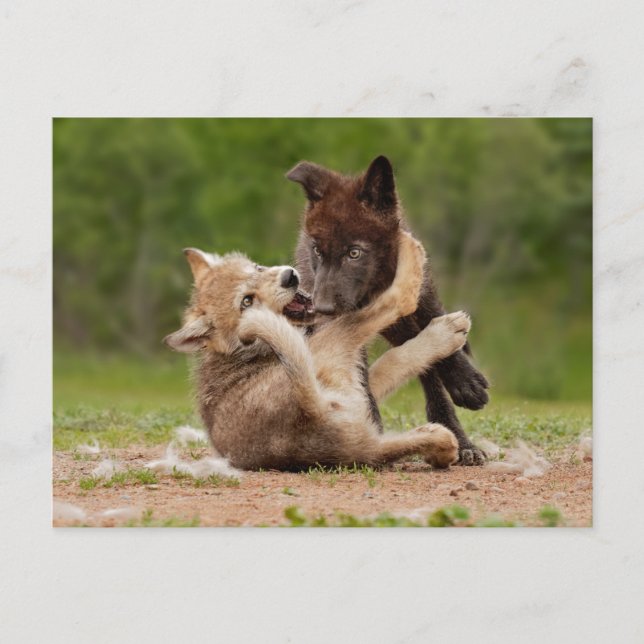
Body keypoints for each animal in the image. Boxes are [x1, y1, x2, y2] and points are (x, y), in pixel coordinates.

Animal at [164, 231, 471, 471]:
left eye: (257, 268)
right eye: (246, 301)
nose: (289, 277)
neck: (246, 351)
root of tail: (309, 413)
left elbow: (390, 365)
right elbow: (398, 351)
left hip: (365, 433)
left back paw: (440, 443)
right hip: (336, 341)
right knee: (396, 302)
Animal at [287, 155, 489, 465]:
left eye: (354, 253)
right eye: (318, 251)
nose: (321, 307)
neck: (375, 289)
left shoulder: (420, 299)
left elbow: (439, 339)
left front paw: (465, 382)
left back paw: (460, 437)